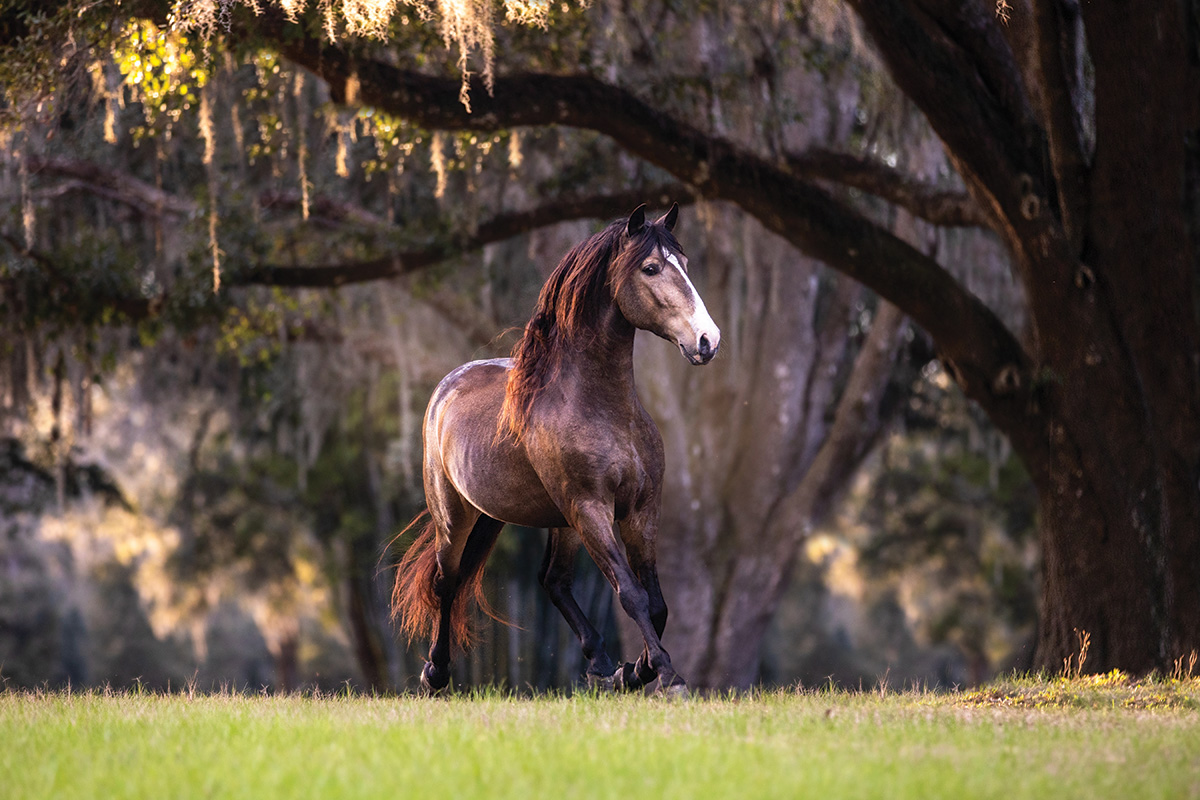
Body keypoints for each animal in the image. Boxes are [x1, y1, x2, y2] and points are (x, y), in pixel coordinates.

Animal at [388, 205, 715, 695]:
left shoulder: (641, 509)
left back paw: (602, 663)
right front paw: (664, 672)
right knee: (449, 581)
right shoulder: (590, 508)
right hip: (457, 515)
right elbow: (632, 594)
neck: (600, 406)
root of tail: (446, 388)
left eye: (687, 264)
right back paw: (436, 672)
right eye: (651, 268)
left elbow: (656, 603)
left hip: (556, 522)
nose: (707, 341)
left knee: (553, 581)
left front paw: (635, 670)